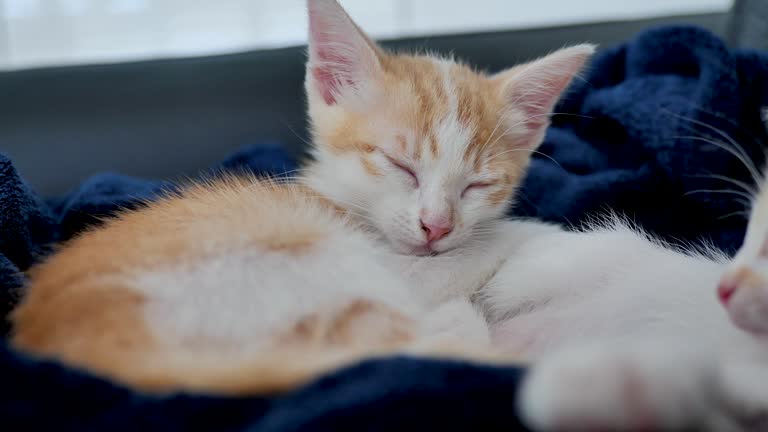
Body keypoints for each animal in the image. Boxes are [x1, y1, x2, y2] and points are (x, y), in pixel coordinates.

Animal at [9, 0, 592, 396]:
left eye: (477, 185)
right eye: (399, 165)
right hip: (300, 260)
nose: (437, 225)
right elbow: (471, 257)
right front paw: (536, 233)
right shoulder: (395, 265)